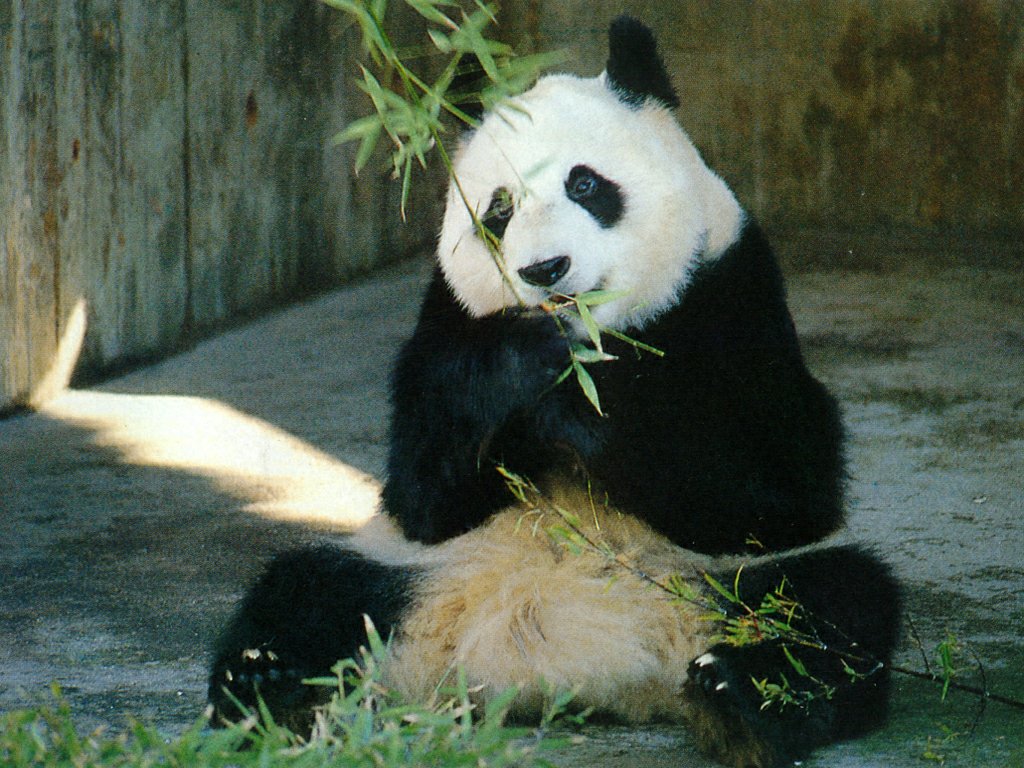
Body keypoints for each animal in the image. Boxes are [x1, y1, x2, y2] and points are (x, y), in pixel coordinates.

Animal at [209, 16, 900, 768]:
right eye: (499, 210)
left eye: (586, 184)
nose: (545, 270)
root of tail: (563, 662)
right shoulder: (445, 323)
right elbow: (423, 491)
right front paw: (528, 367)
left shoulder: (733, 293)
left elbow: (782, 486)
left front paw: (592, 410)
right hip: (409, 575)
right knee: (304, 591)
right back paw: (268, 687)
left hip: (721, 583)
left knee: (835, 608)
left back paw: (741, 698)